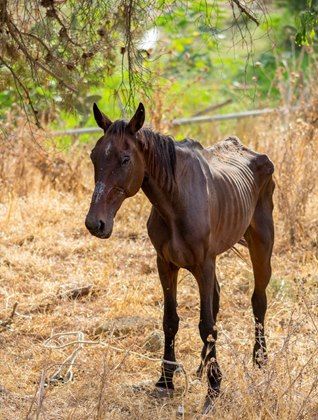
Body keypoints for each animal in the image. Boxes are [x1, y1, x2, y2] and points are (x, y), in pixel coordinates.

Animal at [85, 102, 274, 414]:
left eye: (125, 159)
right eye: (93, 156)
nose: (95, 224)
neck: (175, 201)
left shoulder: (204, 264)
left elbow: (206, 325)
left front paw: (214, 388)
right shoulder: (166, 264)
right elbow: (170, 320)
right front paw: (165, 380)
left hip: (262, 245)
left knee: (258, 300)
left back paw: (260, 360)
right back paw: (203, 364)